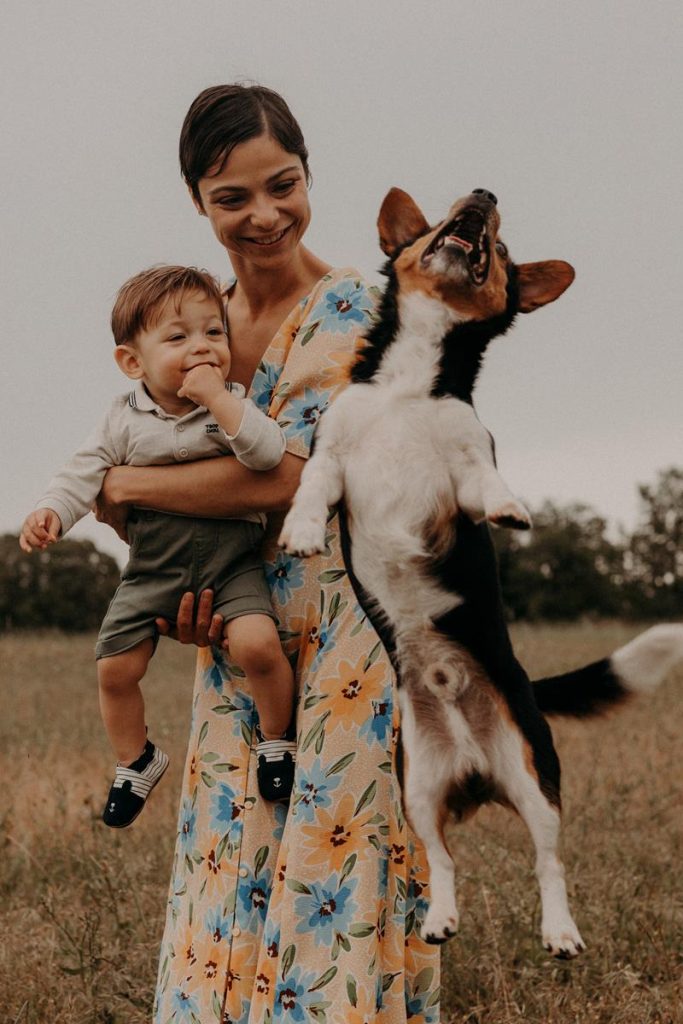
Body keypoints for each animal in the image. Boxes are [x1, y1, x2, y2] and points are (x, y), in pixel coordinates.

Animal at [278, 186, 683, 958]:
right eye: (447, 213)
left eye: (499, 246)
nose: (484, 196)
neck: (407, 388)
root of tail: (473, 769)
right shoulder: (332, 457)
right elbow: (311, 487)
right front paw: (301, 530)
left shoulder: (464, 465)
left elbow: (484, 481)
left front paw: (510, 509)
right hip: (418, 790)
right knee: (442, 862)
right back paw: (440, 918)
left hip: (533, 775)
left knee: (548, 863)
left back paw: (560, 932)